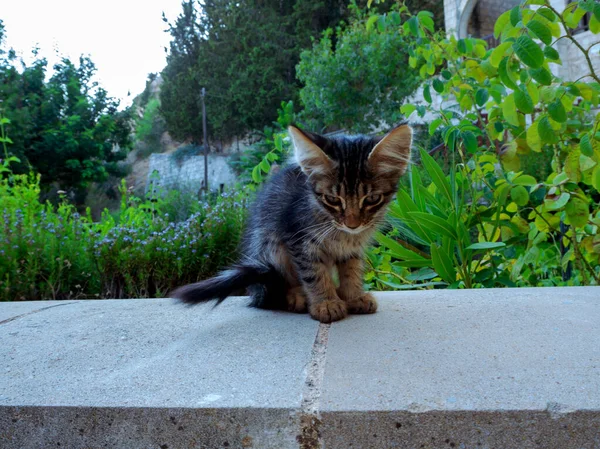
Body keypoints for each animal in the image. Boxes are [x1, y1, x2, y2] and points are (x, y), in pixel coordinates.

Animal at [170, 123, 412, 322]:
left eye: (372, 199)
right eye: (333, 199)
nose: (352, 224)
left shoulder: (351, 249)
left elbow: (351, 272)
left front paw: (352, 296)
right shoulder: (299, 240)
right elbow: (315, 274)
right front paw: (326, 303)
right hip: (269, 245)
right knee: (273, 293)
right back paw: (297, 296)